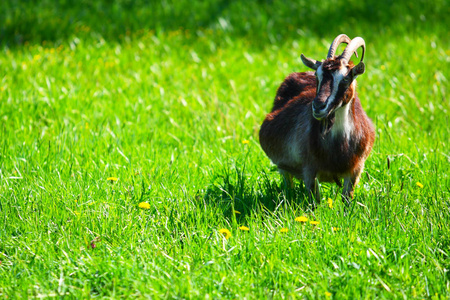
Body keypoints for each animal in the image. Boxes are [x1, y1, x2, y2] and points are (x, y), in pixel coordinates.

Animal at [258, 33, 374, 206]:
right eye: (317, 76)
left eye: (346, 79)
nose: (319, 106)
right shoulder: (309, 169)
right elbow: (315, 202)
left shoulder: (356, 169)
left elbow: (347, 199)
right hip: (283, 167)